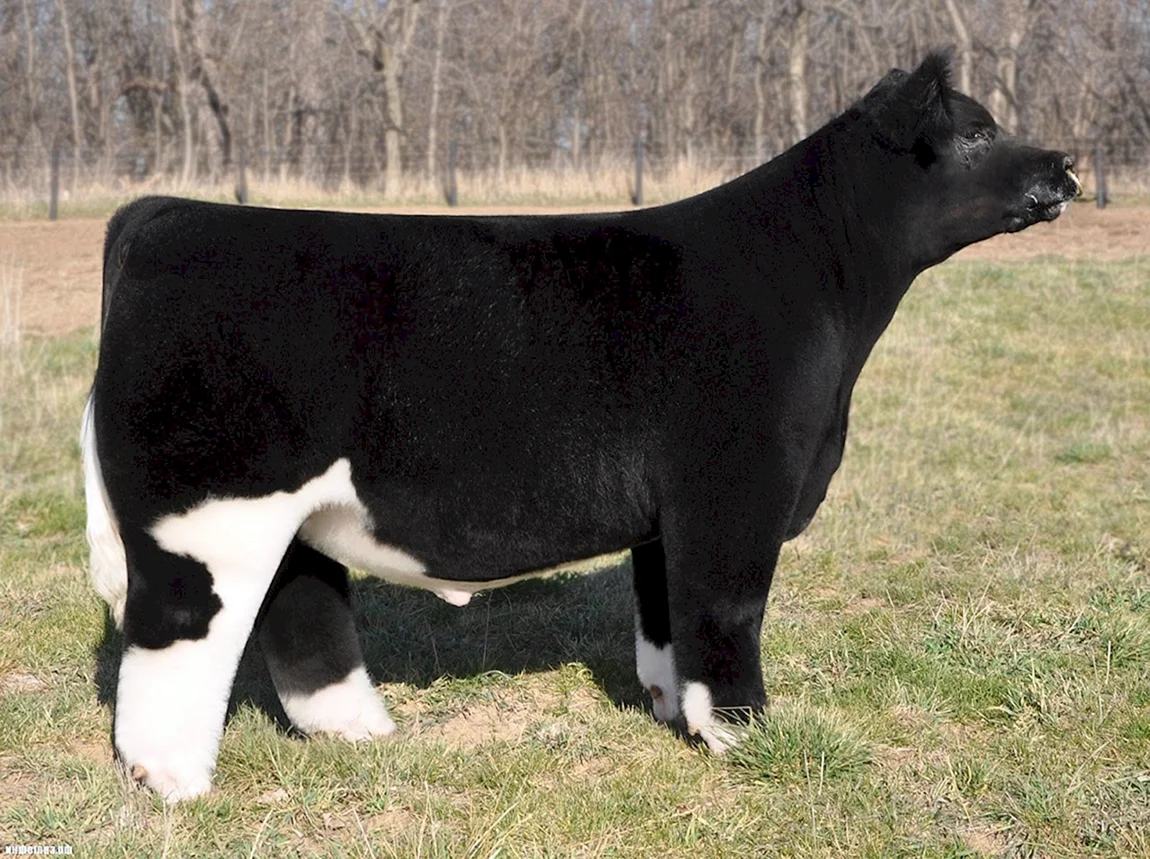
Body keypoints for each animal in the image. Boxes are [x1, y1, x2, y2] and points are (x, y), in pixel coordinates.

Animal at [83, 51, 1080, 801]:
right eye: (977, 131)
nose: (1065, 165)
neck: (817, 278)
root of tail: (164, 213)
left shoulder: (668, 515)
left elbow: (667, 615)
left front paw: (675, 713)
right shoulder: (735, 489)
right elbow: (727, 611)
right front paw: (748, 735)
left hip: (292, 512)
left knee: (301, 613)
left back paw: (361, 734)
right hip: (211, 511)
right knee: (177, 637)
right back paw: (171, 781)